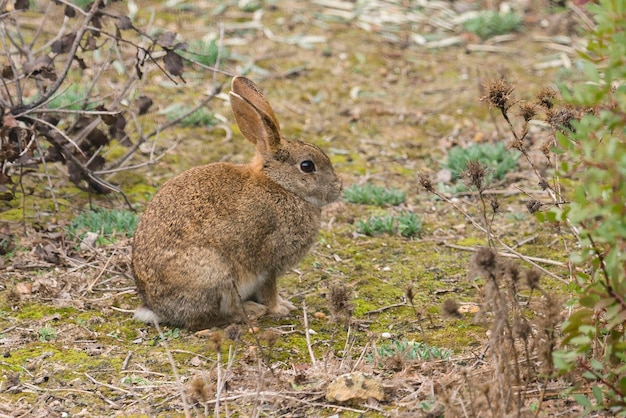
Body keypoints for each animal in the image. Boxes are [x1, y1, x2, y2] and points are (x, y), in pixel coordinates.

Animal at [131, 75, 342, 330]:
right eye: (307, 166)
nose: (339, 187)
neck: (280, 185)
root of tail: (156, 308)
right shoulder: (269, 263)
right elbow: (269, 289)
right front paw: (279, 309)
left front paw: (285, 304)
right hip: (214, 274)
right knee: (208, 318)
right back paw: (250, 311)